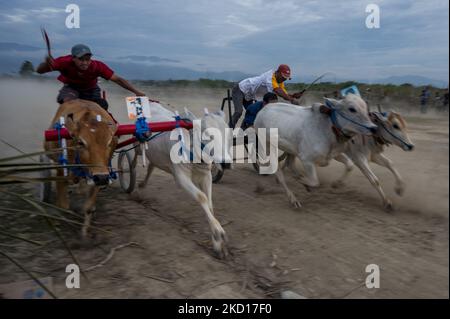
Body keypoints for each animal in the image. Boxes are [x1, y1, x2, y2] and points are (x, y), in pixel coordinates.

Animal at [43, 100, 117, 238]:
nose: (102, 178)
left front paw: (84, 232)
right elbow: (63, 205)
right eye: (81, 142)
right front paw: (58, 222)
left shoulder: (99, 175)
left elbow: (88, 207)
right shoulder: (60, 171)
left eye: (109, 143)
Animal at [133, 105, 232, 260]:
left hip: (155, 155)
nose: (225, 163)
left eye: (228, 134)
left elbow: (210, 205)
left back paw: (142, 186)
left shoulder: (206, 176)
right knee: (129, 158)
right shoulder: (181, 177)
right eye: (207, 135)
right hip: (137, 145)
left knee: (151, 167)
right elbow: (202, 197)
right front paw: (218, 232)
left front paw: (217, 243)